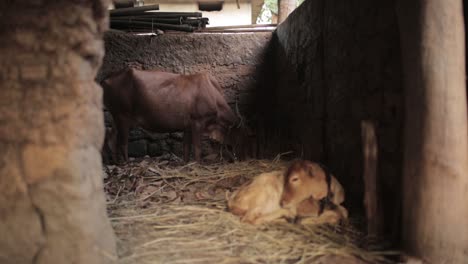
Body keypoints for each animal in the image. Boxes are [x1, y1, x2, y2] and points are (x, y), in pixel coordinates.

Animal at [103, 67, 241, 163]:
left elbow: (186, 147)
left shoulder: (187, 126)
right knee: (122, 142)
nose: (236, 158)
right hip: (122, 116)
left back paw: (116, 161)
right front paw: (198, 164)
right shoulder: (197, 122)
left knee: (111, 135)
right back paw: (126, 162)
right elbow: (197, 148)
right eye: (239, 135)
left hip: (116, 116)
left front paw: (186, 163)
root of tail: (107, 78)